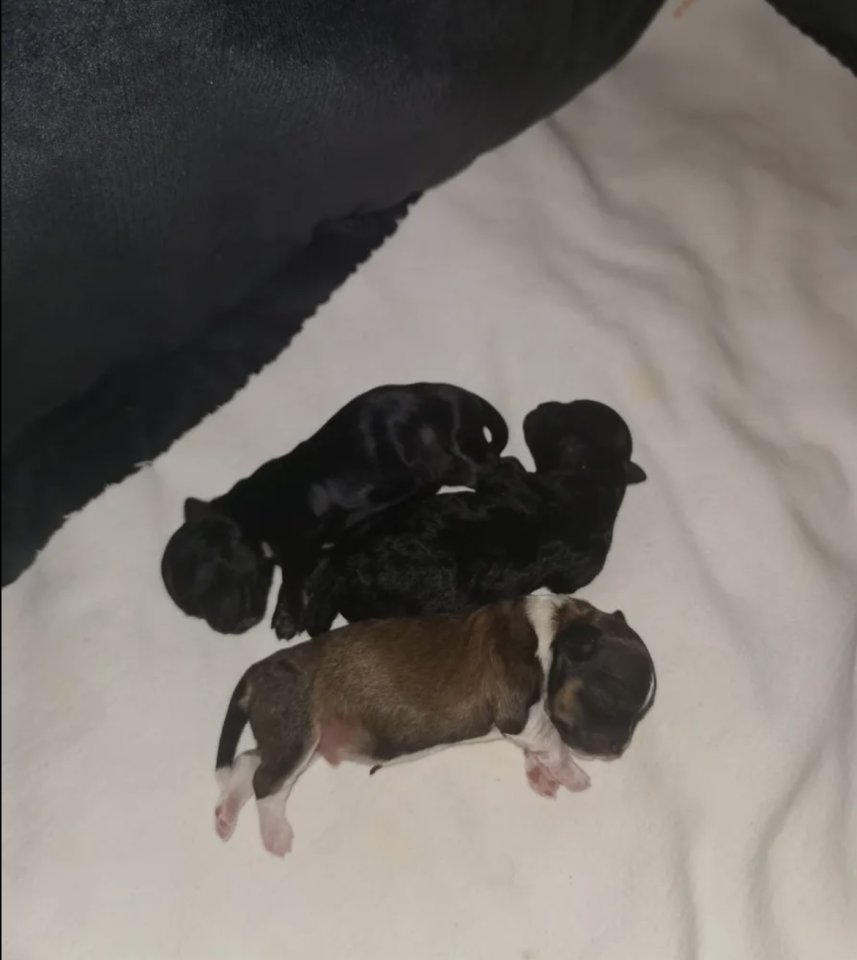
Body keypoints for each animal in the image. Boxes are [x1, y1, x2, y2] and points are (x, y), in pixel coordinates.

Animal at [161, 383, 507, 637]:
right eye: (193, 611)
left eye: (208, 583)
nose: (223, 628)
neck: (249, 516)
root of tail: (462, 395)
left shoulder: (299, 532)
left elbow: (293, 572)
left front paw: (287, 612)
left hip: (458, 446)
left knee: (492, 465)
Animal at [213, 593, 656, 857]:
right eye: (609, 701)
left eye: (641, 715)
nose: (619, 749)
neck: (551, 631)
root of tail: (256, 672)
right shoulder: (518, 712)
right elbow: (554, 743)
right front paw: (574, 775)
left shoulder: (529, 723)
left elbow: (541, 745)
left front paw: (541, 774)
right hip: (299, 731)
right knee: (266, 783)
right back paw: (275, 836)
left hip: (287, 734)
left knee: (249, 761)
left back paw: (226, 814)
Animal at [300, 399, 646, 635]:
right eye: (570, 407)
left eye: (563, 414)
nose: (540, 407)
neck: (595, 478)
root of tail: (350, 572)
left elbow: (505, 467)